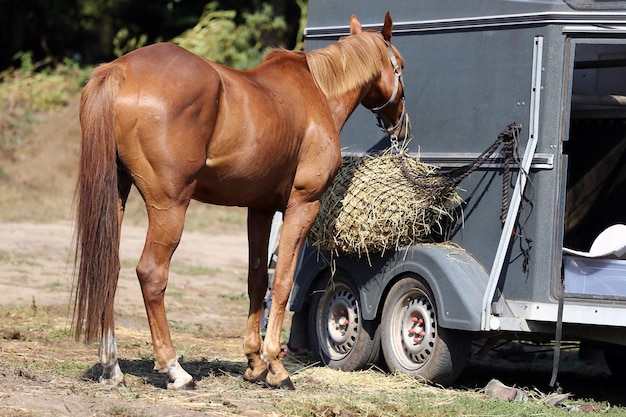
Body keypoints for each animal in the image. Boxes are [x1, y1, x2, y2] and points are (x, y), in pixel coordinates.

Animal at [74, 13, 404, 390]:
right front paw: (276, 366)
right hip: (169, 207)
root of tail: (121, 69)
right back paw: (175, 370)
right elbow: (283, 281)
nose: (400, 121)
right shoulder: (302, 206)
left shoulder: (259, 209)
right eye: (400, 66)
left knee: (108, 269)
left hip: (116, 196)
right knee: (151, 275)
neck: (316, 92)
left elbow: (257, 279)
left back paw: (111, 367)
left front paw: (255, 363)